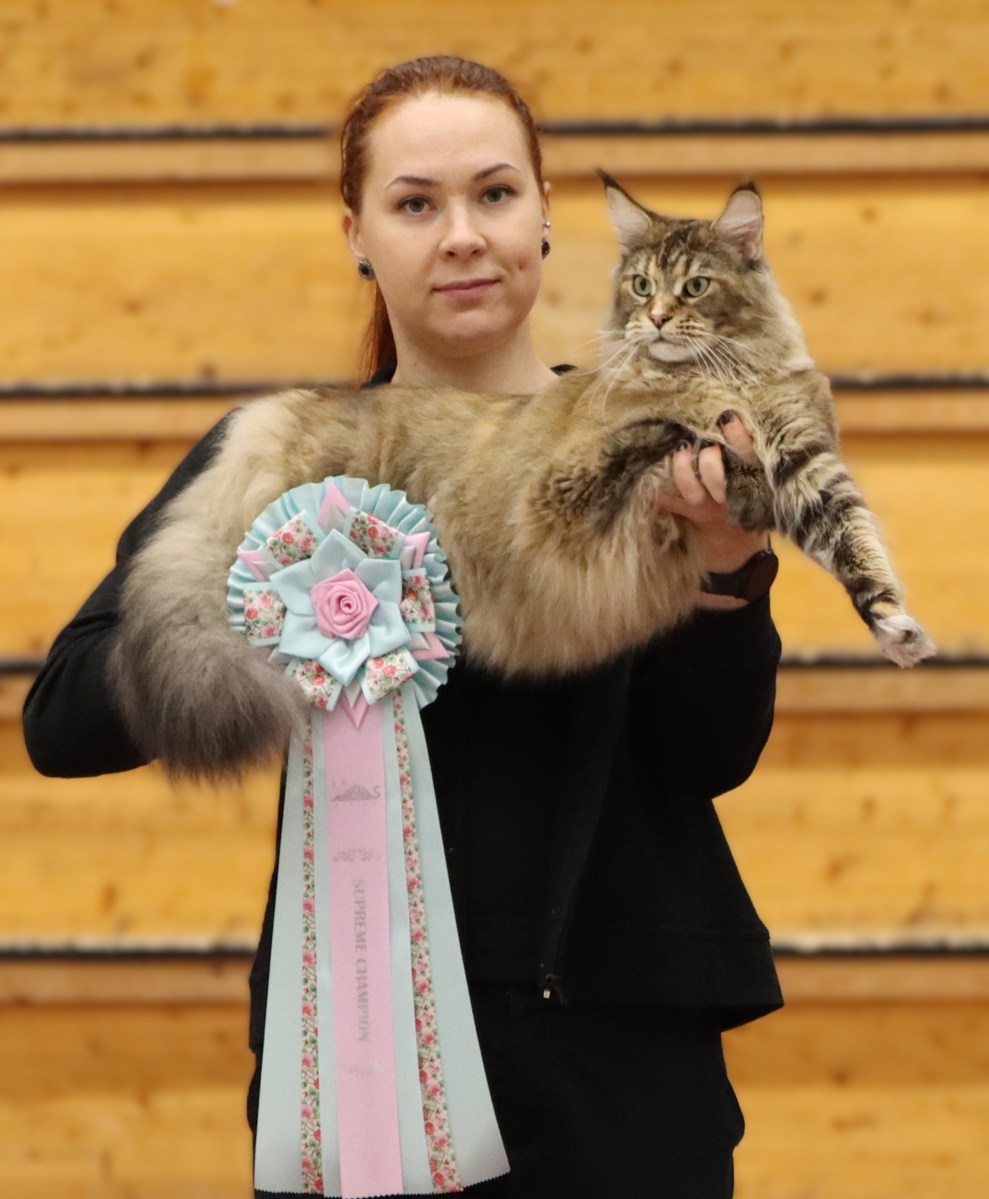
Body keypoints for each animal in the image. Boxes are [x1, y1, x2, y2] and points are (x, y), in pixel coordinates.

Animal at [110, 173, 934, 778]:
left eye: (696, 287)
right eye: (640, 286)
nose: (656, 320)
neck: (732, 376)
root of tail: (271, 411)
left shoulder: (810, 464)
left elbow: (857, 546)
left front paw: (894, 626)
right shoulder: (565, 491)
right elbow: (672, 432)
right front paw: (715, 448)